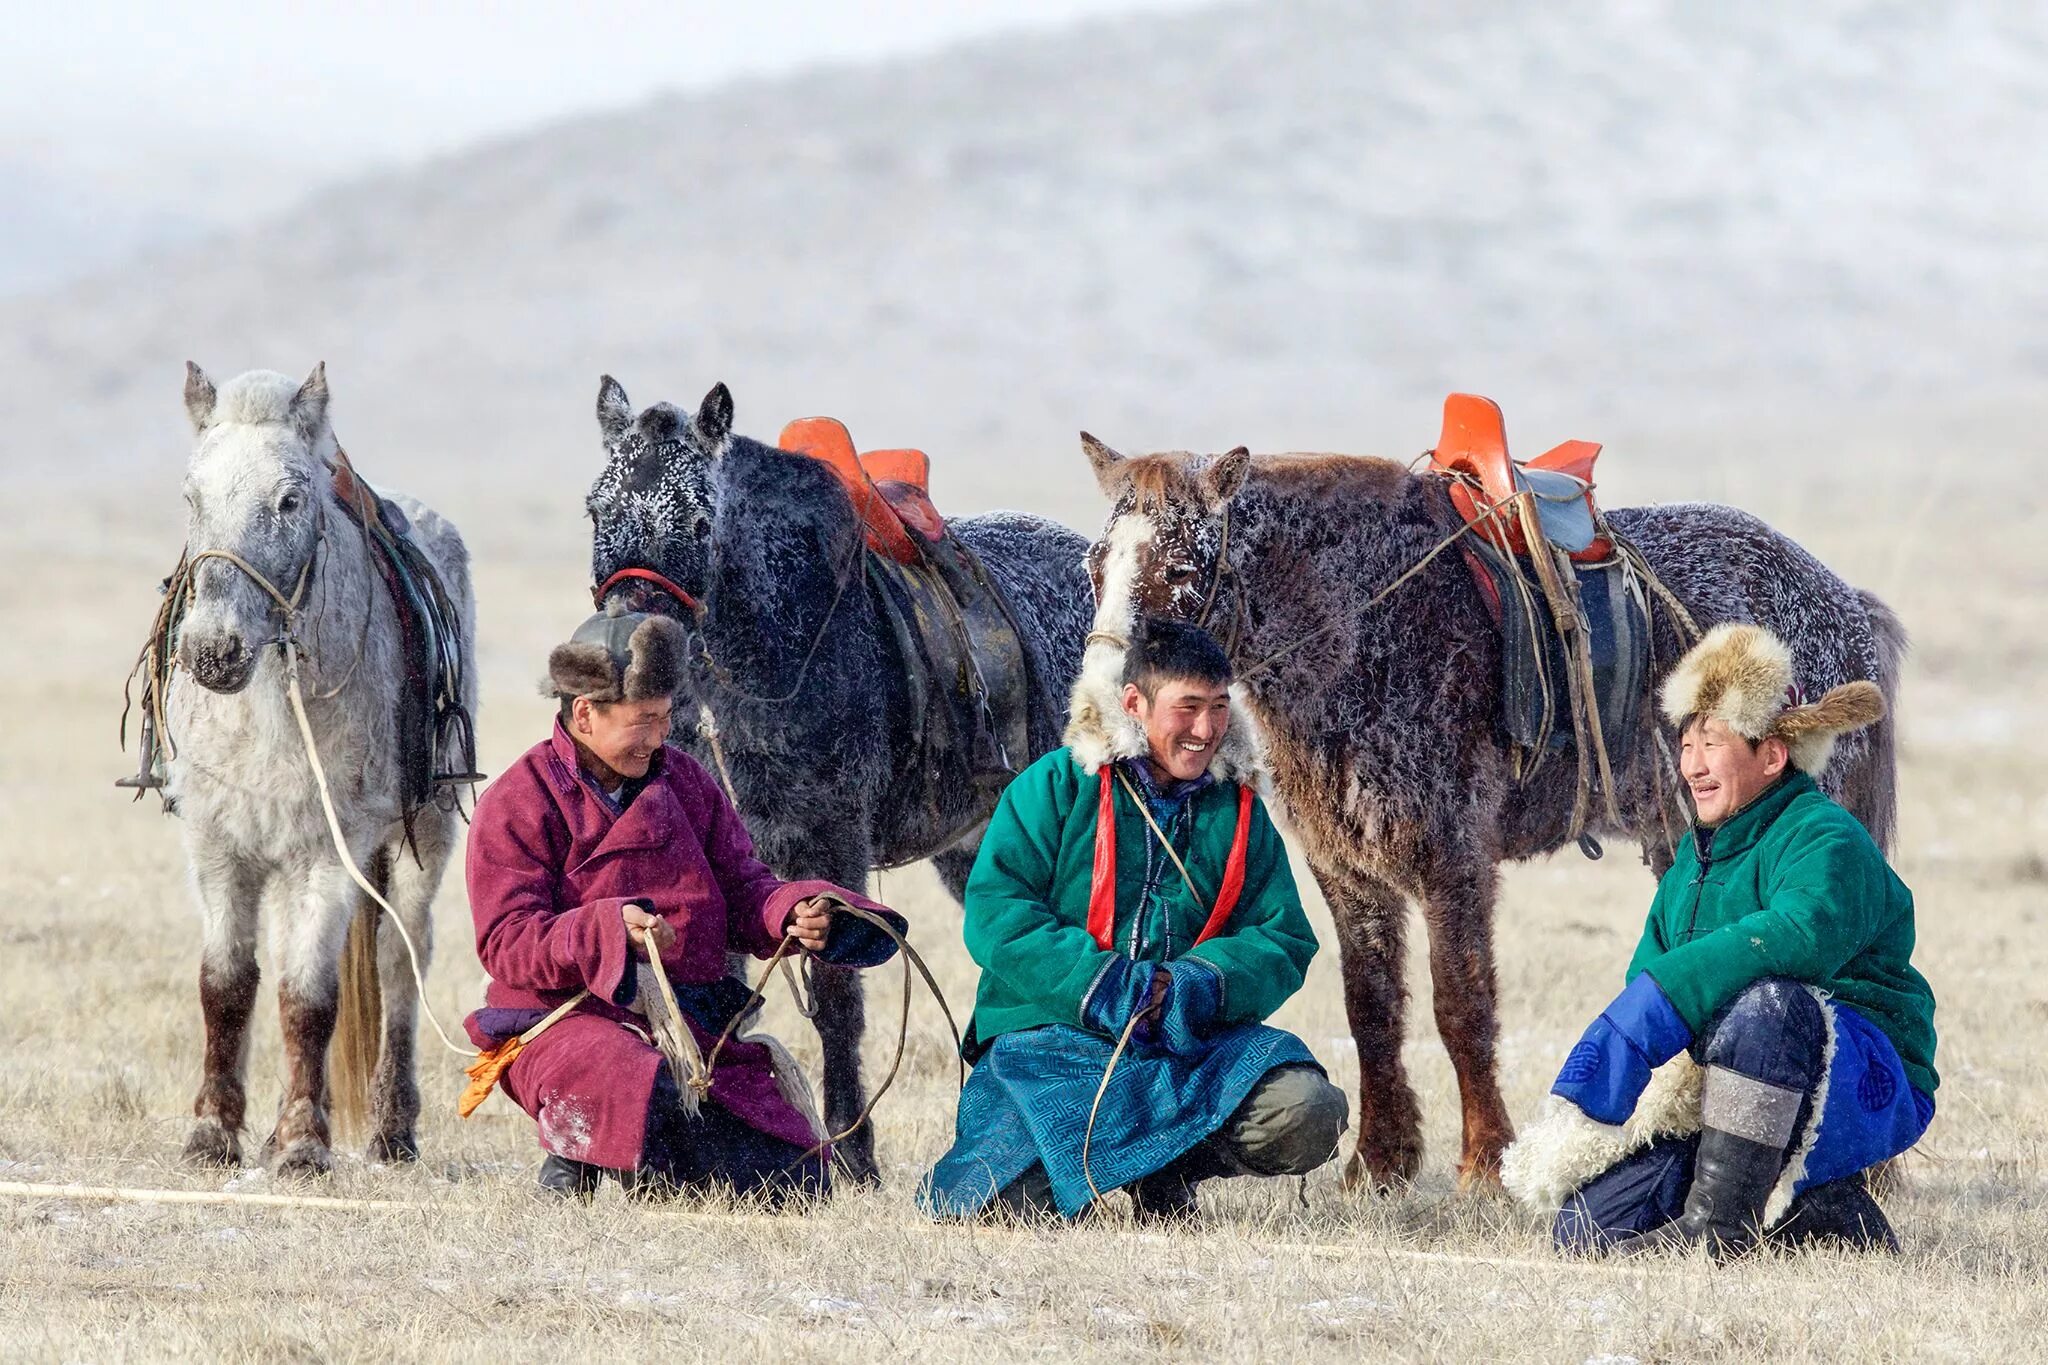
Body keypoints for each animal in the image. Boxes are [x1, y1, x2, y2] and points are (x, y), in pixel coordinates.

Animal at [165, 362, 477, 1178]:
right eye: (191, 496)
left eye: (289, 500)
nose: (213, 650)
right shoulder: (219, 848)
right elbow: (227, 984)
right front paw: (213, 1133)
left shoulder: (324, 856)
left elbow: (309, 996)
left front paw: (305, 1143)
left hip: (422, 839)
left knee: (401, 959)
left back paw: (393, 1130)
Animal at [585, 378, 1097, 1178]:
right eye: (595, 509)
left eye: (700, 520)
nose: (625, 649)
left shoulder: (829, 844)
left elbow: (834, 999)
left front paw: (853, 1150)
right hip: (973, 847)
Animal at [1081, 435, 1892, 1195]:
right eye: (1095, 566)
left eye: (1181, 571)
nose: (1106, 707)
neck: (1364, 627)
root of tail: (1844, 603)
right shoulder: (1347, 869)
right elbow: (1371, 1007)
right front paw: (1379, 1163)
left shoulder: (1454, 858)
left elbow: (1461, 1005)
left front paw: (1484, 1164)